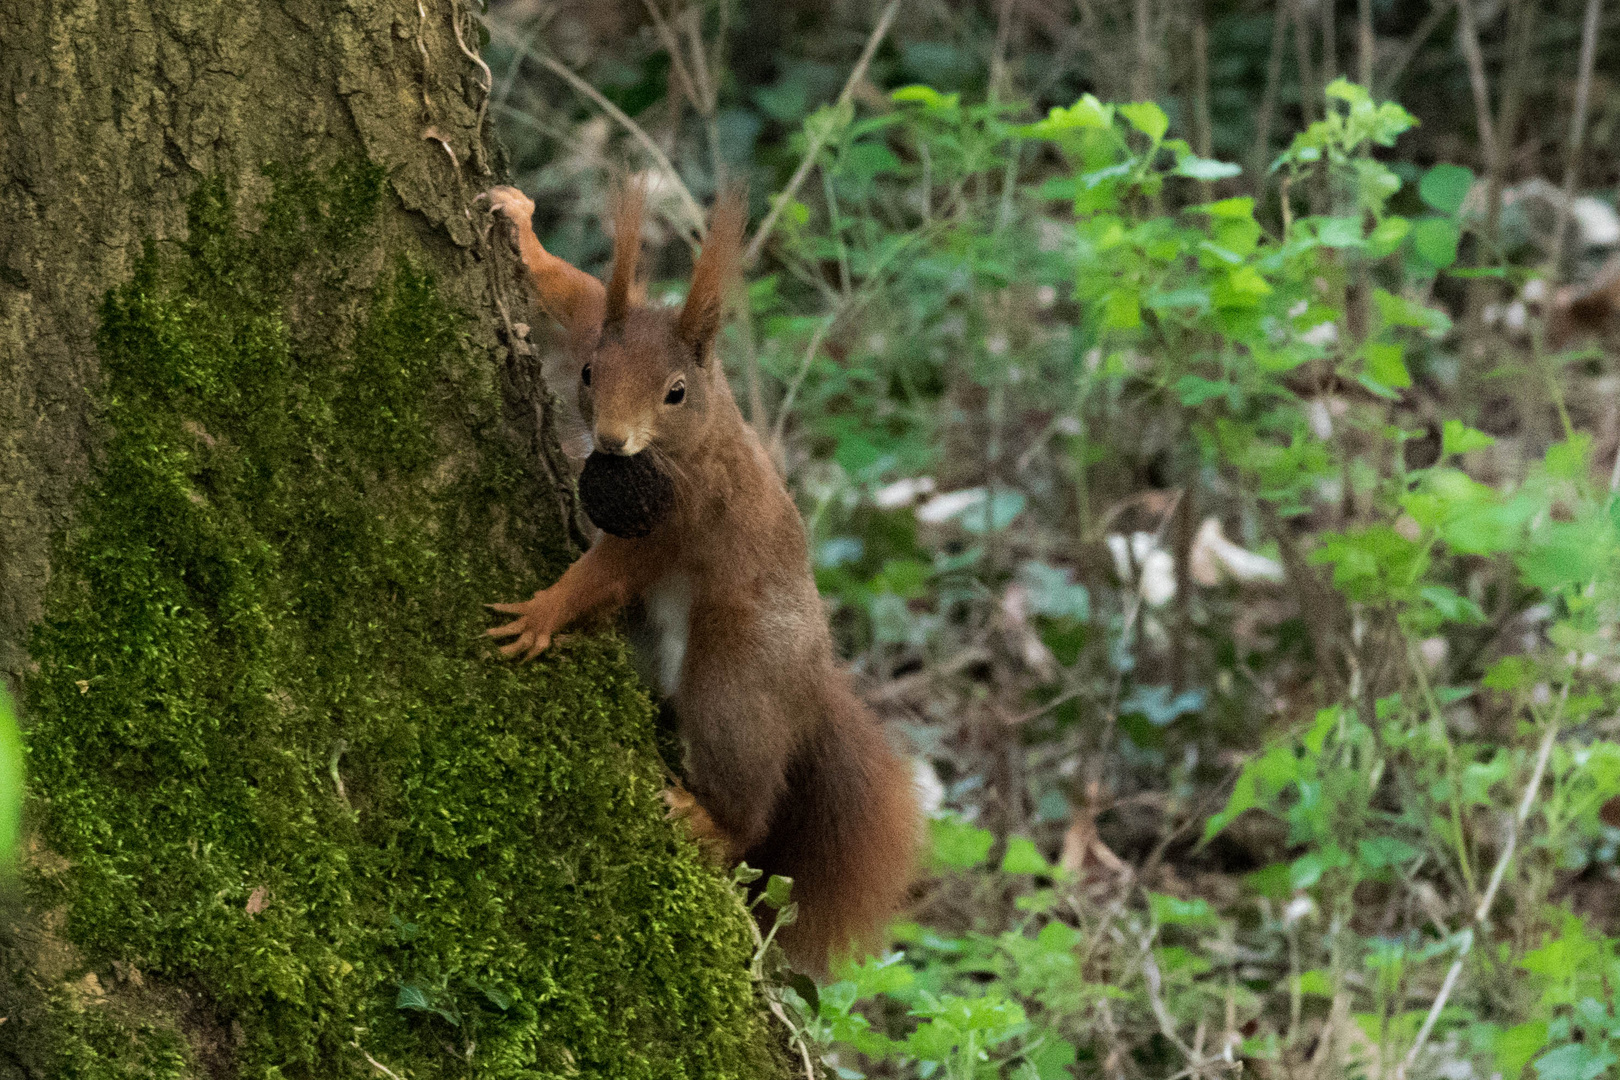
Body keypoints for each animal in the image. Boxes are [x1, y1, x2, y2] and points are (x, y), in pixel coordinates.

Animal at [479, 181, 920, 977]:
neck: (692, 441)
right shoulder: (595, 321)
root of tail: (813, 682)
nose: (613, 440)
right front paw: (523, 227)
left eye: (676, 392)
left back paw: (710, 824)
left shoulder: (681, 514)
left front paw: (541, 612)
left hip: (733, 682)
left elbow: (609, 568)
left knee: (748, 803)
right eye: (588, 374)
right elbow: (575, 289)